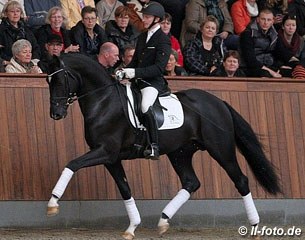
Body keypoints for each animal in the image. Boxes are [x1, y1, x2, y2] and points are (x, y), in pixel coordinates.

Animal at [45, 53, 280, 239]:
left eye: (60, 79)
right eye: (48, 81)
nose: (56, 114)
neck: (104, 101)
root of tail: (218, 102)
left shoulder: (105, 151)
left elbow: (72, 164)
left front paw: (53, 203)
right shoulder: (111, 158)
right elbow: (124, 189)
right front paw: (132, 227)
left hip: (220, 149)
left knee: (240, 180)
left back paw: (255, 227)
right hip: (180, 153)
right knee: (191, 182)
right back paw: (163, 220)